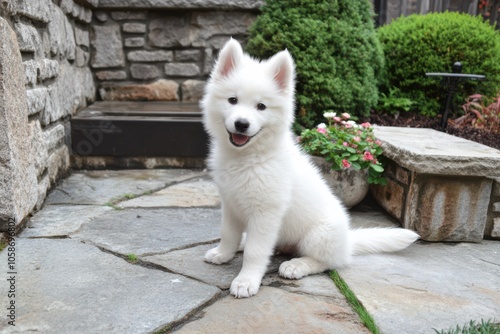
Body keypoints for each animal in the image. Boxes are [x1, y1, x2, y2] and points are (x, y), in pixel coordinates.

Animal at [199, 38, 418, 298]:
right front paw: (223, 254)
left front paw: (246, 280)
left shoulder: (266, 212)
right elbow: (228, 234)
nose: (241, 124)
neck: (249, 157)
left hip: (319, 235)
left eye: (261, 106)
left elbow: (256, 251)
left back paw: (297, 265)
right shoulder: (230, 203)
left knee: (328, 262)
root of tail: (348, 242)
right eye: (232, 100)